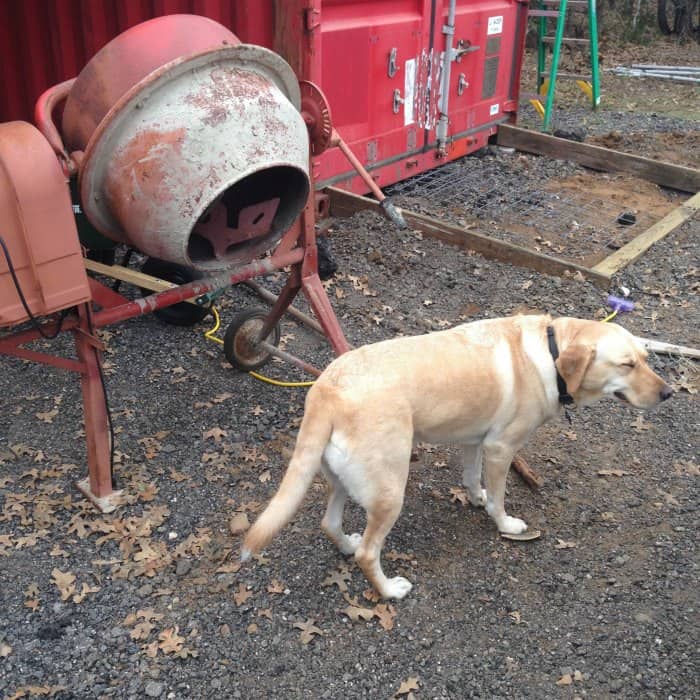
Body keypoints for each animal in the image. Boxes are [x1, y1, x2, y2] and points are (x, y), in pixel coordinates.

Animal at [242, 314, 672, 600]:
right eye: (627, 364)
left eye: (646, 357)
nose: (669, 393)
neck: (550, 352)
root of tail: (327, 388)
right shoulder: (501, 449)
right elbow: (499, 499)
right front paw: (505, 523)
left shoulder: (476, 441)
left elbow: (471, 476)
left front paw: (475, 497)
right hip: (390, 491)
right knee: (369, 552)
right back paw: (389, 589)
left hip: (342, 480)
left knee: (330, 524)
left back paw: (346, 543)